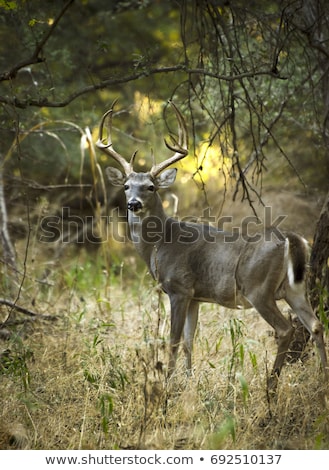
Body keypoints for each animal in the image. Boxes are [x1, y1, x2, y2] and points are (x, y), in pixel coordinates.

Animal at [96, 100, 326, 390]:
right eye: (126, 186)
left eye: (151, 187)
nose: (132, 204)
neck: (161, 243)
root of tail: (289, 237)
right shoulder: (196, 295)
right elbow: (189, 341)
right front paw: (188, 381)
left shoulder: (179, 288)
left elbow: (173, 341)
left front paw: (167, 385)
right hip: (294, 288)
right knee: (316, 325)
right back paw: (322, 380)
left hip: (257, 287)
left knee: (286, 329)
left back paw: (271, 386)